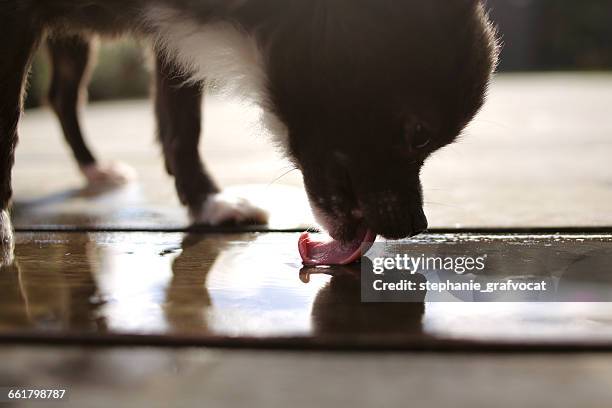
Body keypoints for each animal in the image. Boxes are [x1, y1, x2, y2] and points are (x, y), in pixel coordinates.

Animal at [0, 0, 498, 266]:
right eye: (419, 134)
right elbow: (7, 128)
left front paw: (207, 201)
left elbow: (182, 125)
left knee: (64, 96)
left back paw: (92, 168)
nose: (418, 226)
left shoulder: (171, 38)